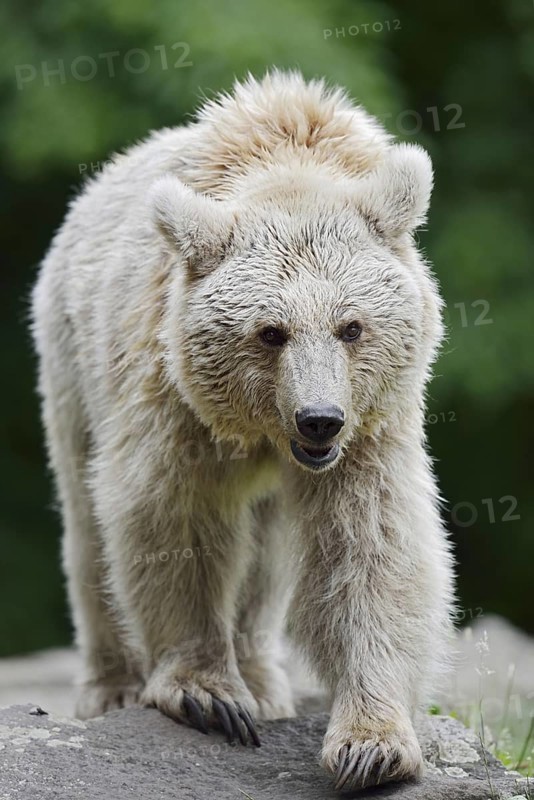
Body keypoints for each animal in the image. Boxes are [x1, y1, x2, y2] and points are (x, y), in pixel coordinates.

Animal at [31, 70, 454, 791]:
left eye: (352, 327)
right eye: (270, 332)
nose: (319, 419)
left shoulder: (372, 423)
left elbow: (371, 546)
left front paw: (371, 743)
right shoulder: (171, 389)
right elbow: (171, 518)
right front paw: (207, 695)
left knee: (268, 555)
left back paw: (263, 676)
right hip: (71, 361)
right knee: (87, 523)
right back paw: (113, 684)